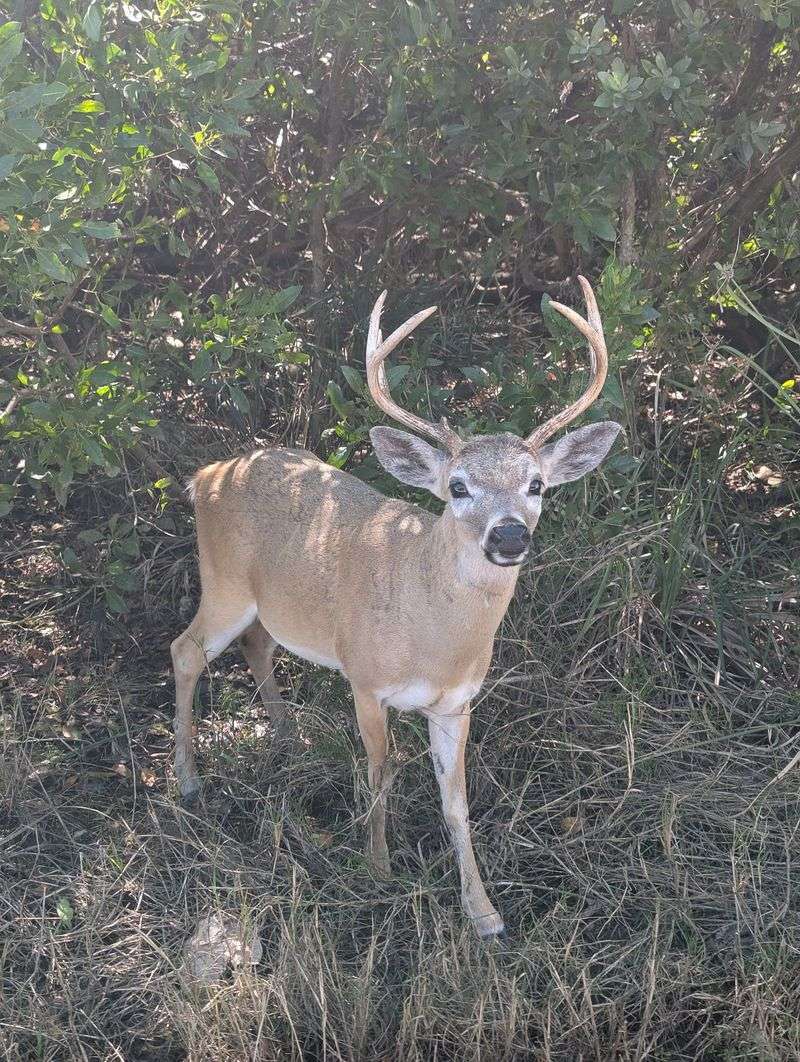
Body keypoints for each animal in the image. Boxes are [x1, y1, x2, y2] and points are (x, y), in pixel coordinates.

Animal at [171, 276, 621, 938]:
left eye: (536, 485)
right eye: (457, 486)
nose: (509, 535)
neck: (431, 636)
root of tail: (205, 475)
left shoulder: (458, 702)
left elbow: (457, 804)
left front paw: (483, 913)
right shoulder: (365, 678)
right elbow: (380, 774)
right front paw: (378, 868)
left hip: (271, 604)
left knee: (257, 644)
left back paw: (286, 737)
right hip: (223, 582)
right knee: (186, 650)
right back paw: (187, 781)